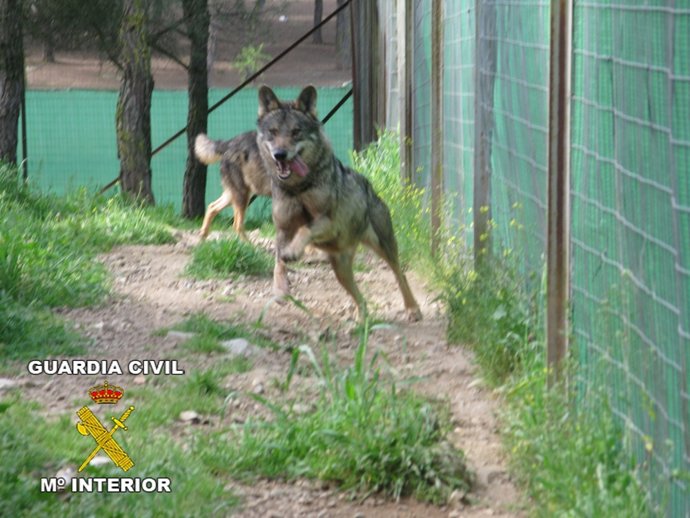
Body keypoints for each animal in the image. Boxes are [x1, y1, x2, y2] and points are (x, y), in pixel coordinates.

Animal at [256, 85, 422, 322]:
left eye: (296, 132)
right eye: (273, 131)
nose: (280, 154)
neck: (299, 188)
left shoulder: (327, 221)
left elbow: (305, 229)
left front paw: (294, 253)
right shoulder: (283, 229)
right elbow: (278, 262)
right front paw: (280, 290)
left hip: (384, 247)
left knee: (400, 274)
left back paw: (412, 309)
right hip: (340, 270)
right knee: (360, 298)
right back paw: (362, 320)